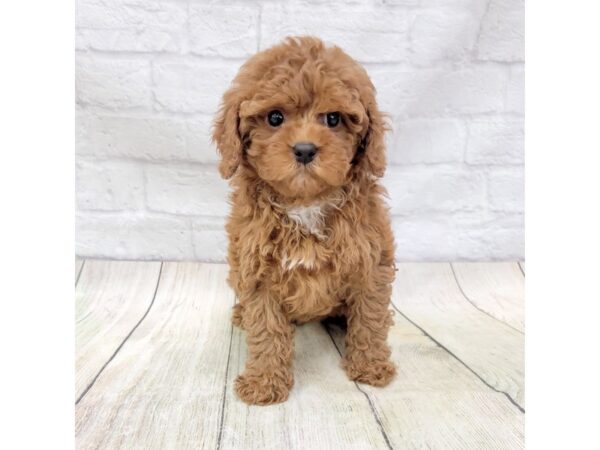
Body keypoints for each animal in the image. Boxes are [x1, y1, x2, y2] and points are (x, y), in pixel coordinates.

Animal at [213, 37, 396, 406]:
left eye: (333, 118)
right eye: (275, 117)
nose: (305, 149)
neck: (306, 203)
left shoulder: (371, 262)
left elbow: (370, 317)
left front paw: (370, 366)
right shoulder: (256, 272)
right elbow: (266, 329)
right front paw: (265, 383)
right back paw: (240, 314)